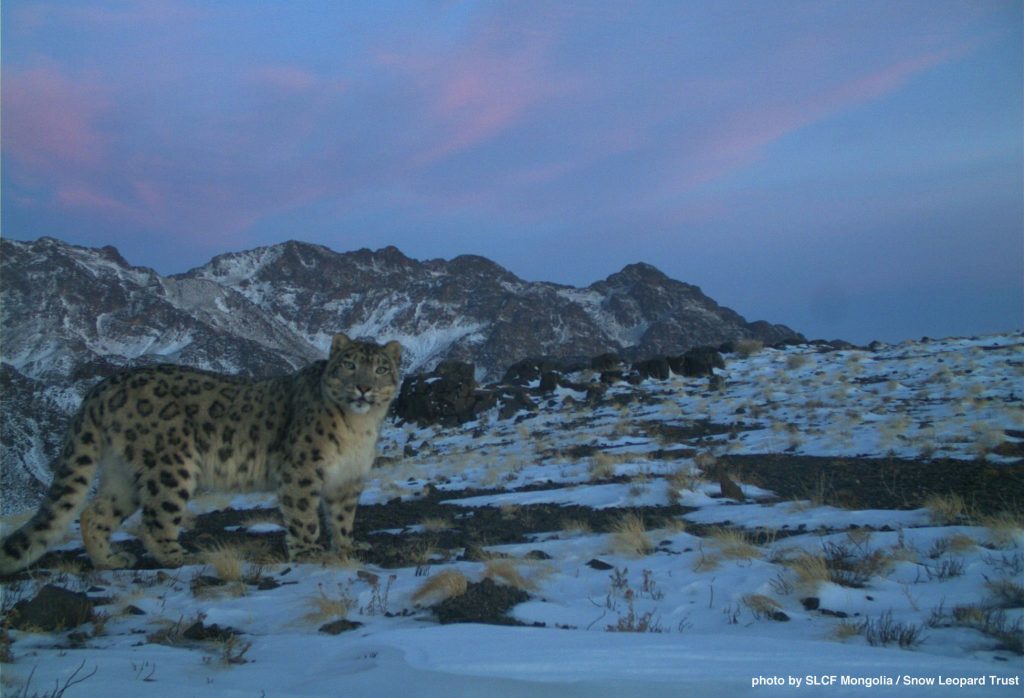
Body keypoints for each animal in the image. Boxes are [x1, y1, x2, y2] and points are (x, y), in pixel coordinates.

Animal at [2, 333, 401, 569]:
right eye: (349, 365)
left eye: (381, 368)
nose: (363, 387)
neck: (359, 427)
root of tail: (103, 386)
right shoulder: (302, 470)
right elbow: (304, 514)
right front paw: (308, 552)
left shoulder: (348, 478)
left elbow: (343, 516)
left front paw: (348, 547)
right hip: (170, 466)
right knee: (156, 519)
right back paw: (180, 556)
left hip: (123, 474)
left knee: (94, 513)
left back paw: (110, 560)